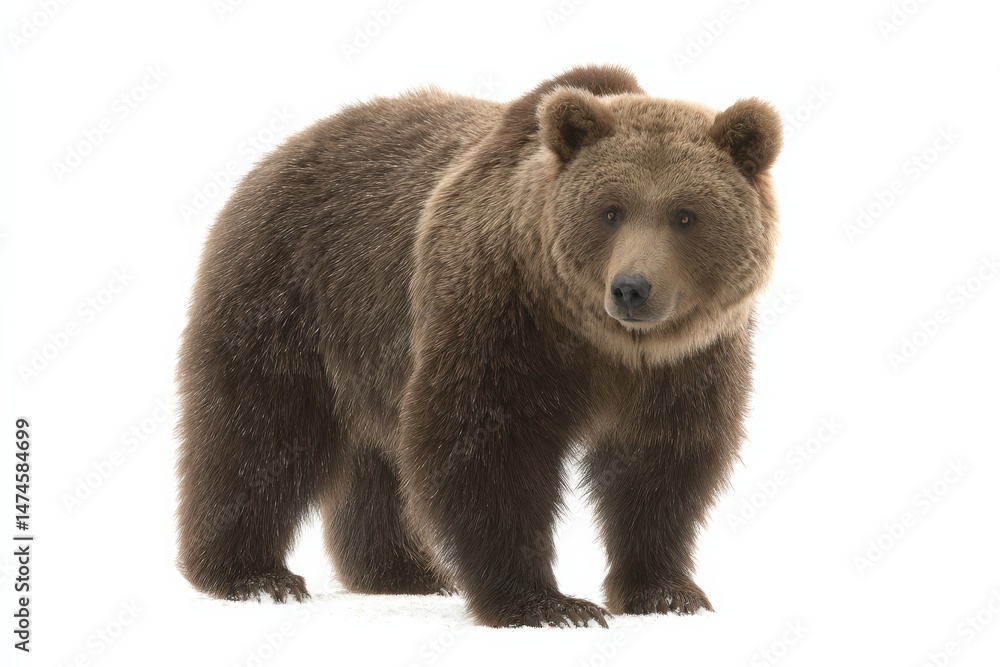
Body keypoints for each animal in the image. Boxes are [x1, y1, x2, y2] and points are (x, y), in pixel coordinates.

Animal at [175, 64, 782, 628]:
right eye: (611, 210)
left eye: (685, 215)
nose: (631, 288)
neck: (600, 341)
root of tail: (281, 151)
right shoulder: (500, 315)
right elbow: (485, 446)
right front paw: (548, 604)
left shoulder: (689, 362)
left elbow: (662, 461)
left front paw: (666, 591)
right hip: (291, 290)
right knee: (261, 427)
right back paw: (251, 574)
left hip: (370, 345)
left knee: (374, 456)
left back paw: (403, 569)